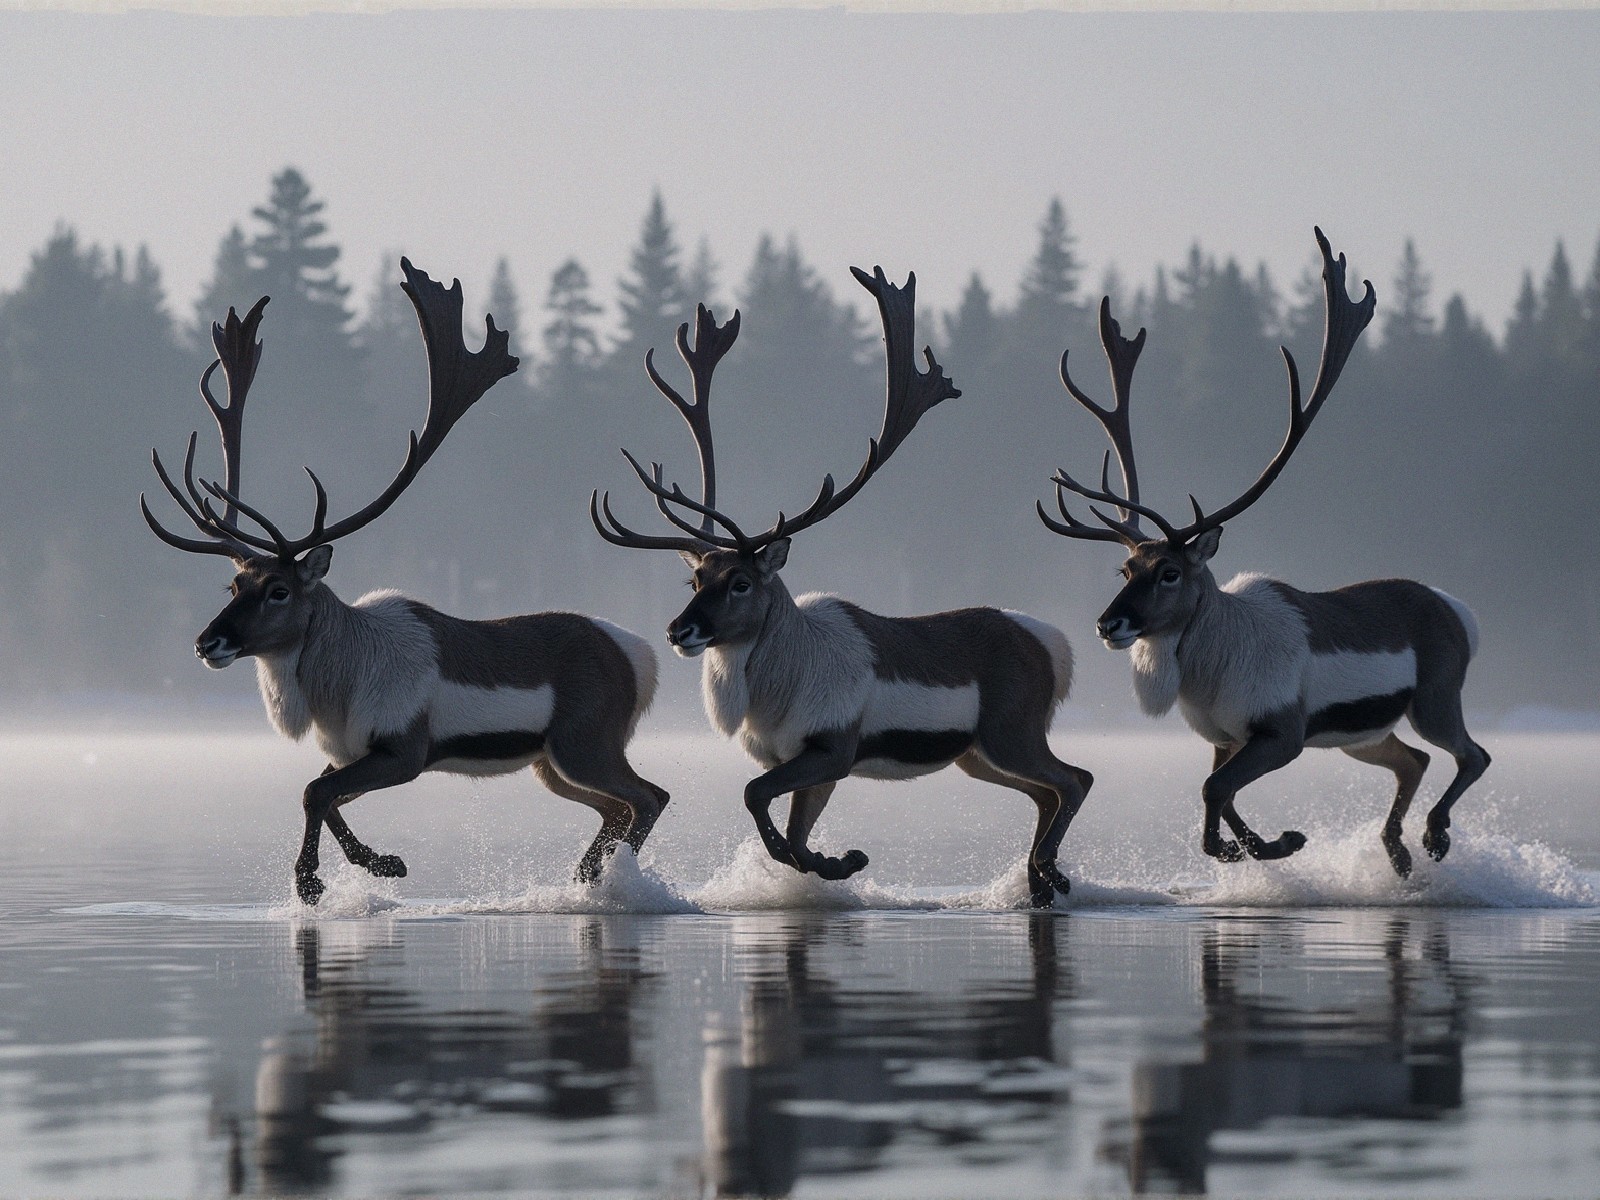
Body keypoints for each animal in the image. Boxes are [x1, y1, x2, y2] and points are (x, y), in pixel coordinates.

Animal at [142, 259, 668, 905]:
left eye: (279, 590)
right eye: (234, 586)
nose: (207, 642)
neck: (335, 690)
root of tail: (642, 657)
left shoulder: (405, 750)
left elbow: (316, 792)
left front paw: (324, 878)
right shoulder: (351, 750)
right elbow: (321, 793)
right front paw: (373, 865)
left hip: (584, 742)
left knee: (650, 796)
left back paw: (609, 880)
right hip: (550, 762)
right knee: (616, 808)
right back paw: (589, 875)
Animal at [591, 266, 1089, 908]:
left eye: (742, 582)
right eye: (696, 575)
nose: (681, 629)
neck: (772, 697)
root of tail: (1056, 645)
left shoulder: (832, 746)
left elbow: (756, 796)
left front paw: (838, 860)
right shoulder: (806, 759)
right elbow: (790, 826)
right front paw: (831, 861)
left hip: (1012, 731)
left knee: (1075, 779)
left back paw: (1050, 873)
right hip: (977, 753)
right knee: (1047, 792)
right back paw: (1038, 877)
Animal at [1038, 228, 1488, 880]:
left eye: (1170, 571)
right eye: (1125, 567)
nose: (1108, 623)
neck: (1209, 674)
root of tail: (1461, 612)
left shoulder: (1283, 731)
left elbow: (1215, 790)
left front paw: (1279, 842)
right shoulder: (1224, 737)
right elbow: (1215, 795)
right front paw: (1245, 846)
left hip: (1435, 696)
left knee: (1471, 755)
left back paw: (1434, 835)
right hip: (1361, 733)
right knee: (1415, 761)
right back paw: (1399, 851)